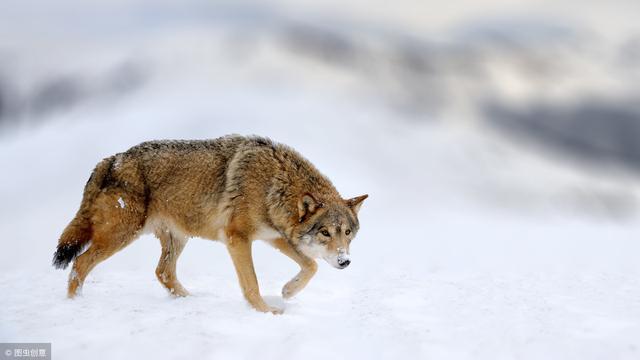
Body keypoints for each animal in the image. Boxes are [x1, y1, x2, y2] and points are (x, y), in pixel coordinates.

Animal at [52, 134, 368, 312]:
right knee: (80, 263)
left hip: (176, 238)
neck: (274, 184)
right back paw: (75, 305)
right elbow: (252, 284)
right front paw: (266, 312)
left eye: (347, 233)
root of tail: (109, 160)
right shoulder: (237, 238)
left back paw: (190, 300)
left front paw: (288, 292)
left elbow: (311, 265)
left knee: (163, 273)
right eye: (325, 232)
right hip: (121, 236)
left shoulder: (274, 236)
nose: (345, 261)